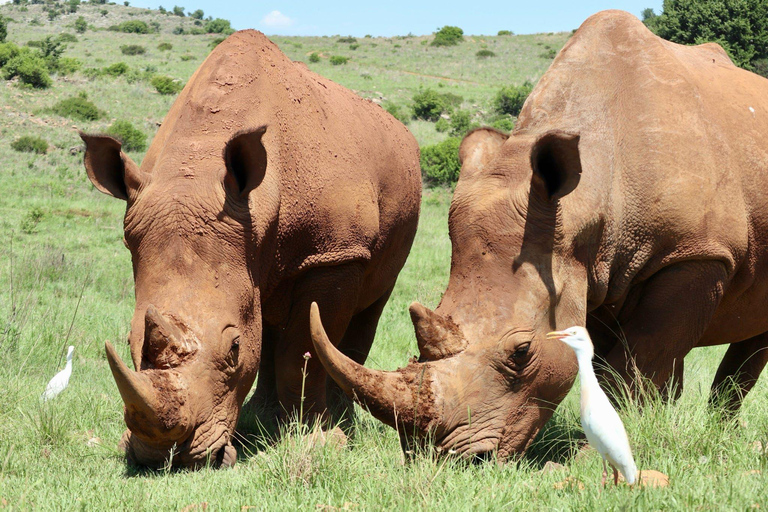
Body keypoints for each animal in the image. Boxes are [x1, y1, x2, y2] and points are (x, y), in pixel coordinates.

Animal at [82, 30, 420, 468]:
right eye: (128, 341)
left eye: (234, 348)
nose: (162, 457)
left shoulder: (334, 254)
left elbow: (304, 351)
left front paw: (317, 441)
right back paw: (262, 417)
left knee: (370, 304)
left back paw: (338, 419)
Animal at [310, 10, 768, 459]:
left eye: (522, 351)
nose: (447, 459)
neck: (589, 201)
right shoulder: (591, 271)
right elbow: (606, 363)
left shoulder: (698, 253)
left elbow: (639, 359)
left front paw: (594, 453)